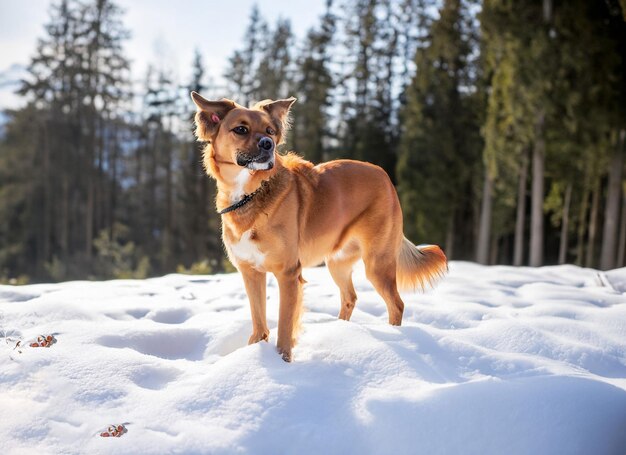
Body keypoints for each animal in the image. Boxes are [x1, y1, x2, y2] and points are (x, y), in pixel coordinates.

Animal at [189, 91, 444, 364]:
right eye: (241, 129)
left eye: (270, 131)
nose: (268, 144)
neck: (251, 193)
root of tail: (384, 175)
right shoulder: (251, 272)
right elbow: (259, 324)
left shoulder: (288, 274)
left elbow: (285, 326)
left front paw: (282, 362)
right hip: (337, 262)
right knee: (350, 298)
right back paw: (342, 331)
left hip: (378, 263)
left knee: (396, 304)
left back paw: (396, 336)